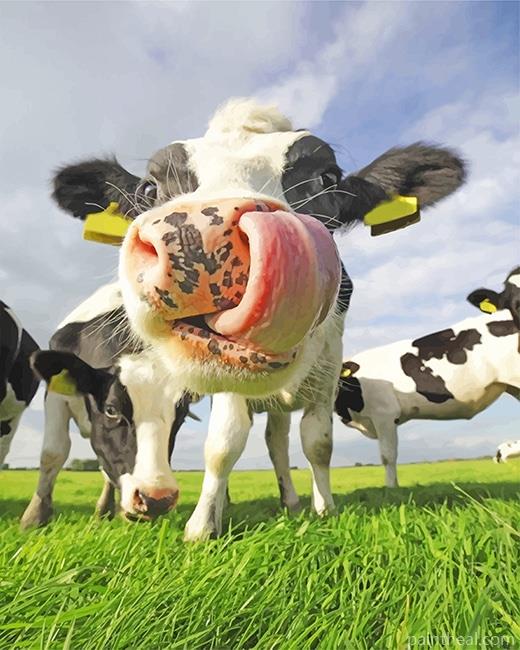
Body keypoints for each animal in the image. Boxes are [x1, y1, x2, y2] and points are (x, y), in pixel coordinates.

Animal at [20, 283, 190, 528]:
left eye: (182, 416)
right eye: (111, 410)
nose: (156, 499)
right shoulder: (55, 395)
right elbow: (53, 452)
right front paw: (34, 517)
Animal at [51, 98, 466, 539]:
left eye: (327, 177)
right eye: (150, 188)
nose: (199, 236)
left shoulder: (328, 369)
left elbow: (317, 443)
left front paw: (324, 508)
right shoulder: (225, 372)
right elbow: (223, 444)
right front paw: (203, 526)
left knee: (277, 441)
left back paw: (290, 501)